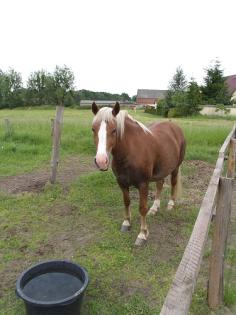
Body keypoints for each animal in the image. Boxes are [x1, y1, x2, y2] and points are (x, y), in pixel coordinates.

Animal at [91, 102, 185, 246]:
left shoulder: (143, 184)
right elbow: (126, 202)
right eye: (93, 129)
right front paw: (126, 223)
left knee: (173, 183)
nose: (101, 161)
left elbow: (142, 208)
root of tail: (174, 127)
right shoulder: (121, 182)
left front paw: (142, 234)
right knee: (160, 185)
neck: (130, 152)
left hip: (175, 168)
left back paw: (170, 204)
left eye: (114, 130)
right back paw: (154, 208)